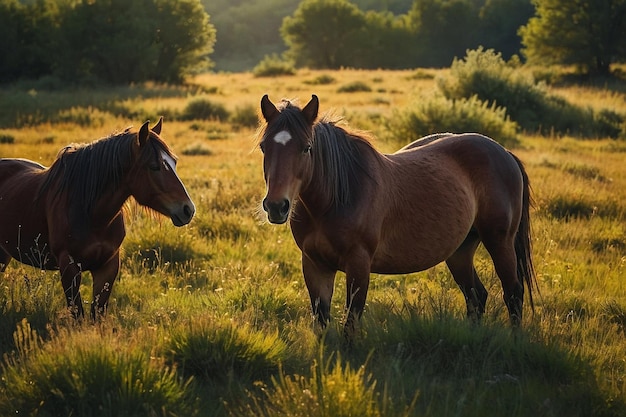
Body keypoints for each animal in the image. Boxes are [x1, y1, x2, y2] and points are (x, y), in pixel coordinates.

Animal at [0, 118, 195, 316]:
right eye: (154, 166)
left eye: (174, 162)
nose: (188, 209)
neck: (92, 215)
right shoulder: (69, 267)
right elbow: (78, 313)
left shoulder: (107, 267)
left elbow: (97, 313)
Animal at [258, 94, 536, 334]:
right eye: (263, 147)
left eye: (306, 148)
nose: (277, 206)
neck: (334, 201)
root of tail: (504, 152)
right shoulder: (315, 265)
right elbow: (322, 323)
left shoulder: (358, 265)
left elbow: (351, 322)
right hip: (460, 251)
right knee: (476, 296)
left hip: (500, 242)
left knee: (513, 293)